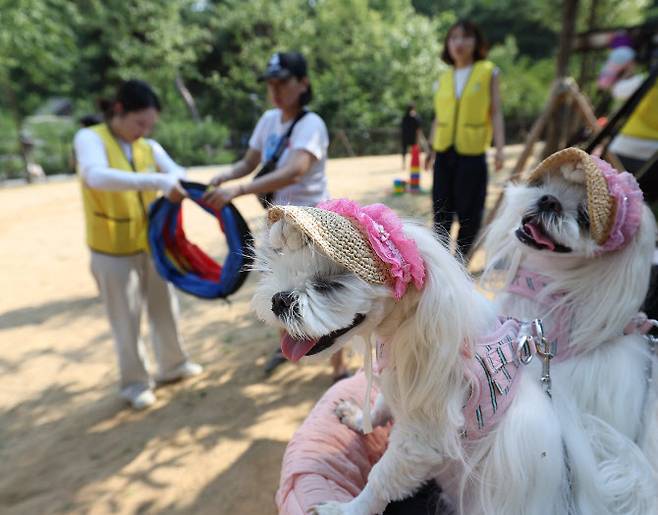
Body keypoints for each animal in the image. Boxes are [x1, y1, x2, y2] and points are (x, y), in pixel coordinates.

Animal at [247, 199, 632, 515]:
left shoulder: (422, 441)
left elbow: (381, 479)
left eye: (329, 284)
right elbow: (383, 404)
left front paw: (343, 510)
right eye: (279, 263)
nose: (279, 299)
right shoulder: (401, 385)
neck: (408, 331)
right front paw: (357, 417)